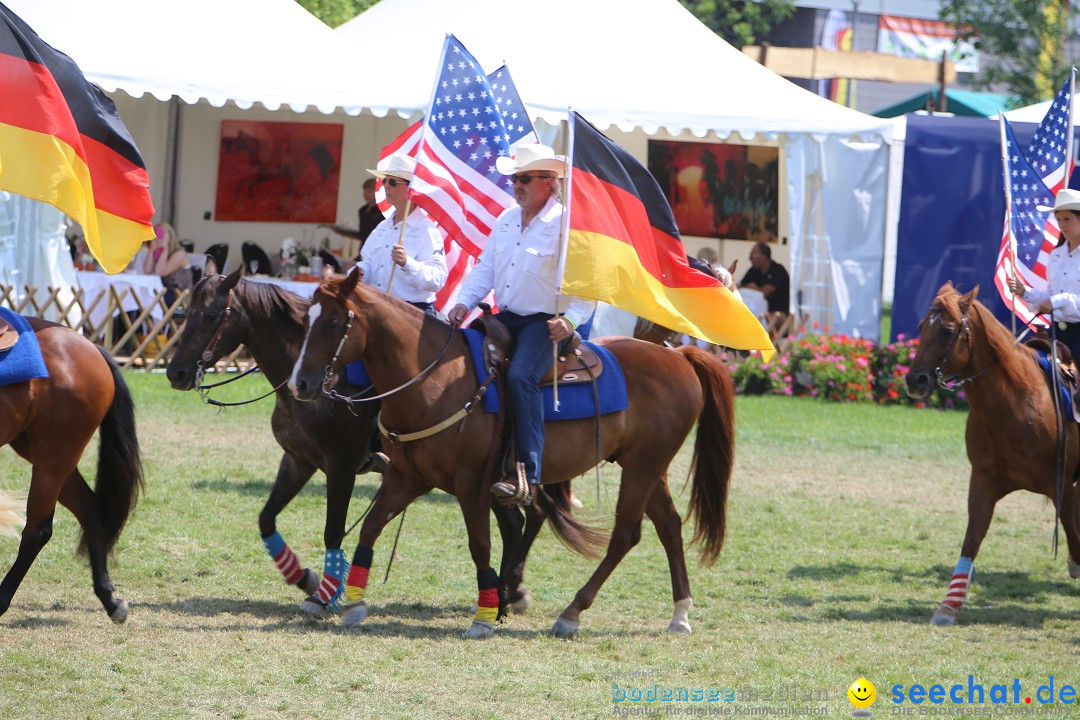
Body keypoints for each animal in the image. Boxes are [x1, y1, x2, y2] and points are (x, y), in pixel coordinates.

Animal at [0, 317, 142, 621]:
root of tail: (91, 347)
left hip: (54, 457)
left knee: (38, 531)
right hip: (45, 454)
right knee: (90, 509)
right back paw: (109, 599)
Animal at [287, 273, 734, 639]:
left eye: (332, 323)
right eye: (304, 321)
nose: (300, 384)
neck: (435, 379)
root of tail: (678, 356)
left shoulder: (471, 484)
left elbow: (480, 544)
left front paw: (485, 615)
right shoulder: (407, 477)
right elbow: (369, 528)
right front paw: (353, 602)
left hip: (642, 467)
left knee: (626, 534)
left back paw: (571, 613)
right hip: (647, 466)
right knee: (669, 526)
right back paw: (679, 614)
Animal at [902, 280, 1080, 626]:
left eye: (947, 330)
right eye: (920, 327)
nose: (915, 380)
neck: (1019, 401)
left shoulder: (1063, 486)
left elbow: (1075, 539)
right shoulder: (983, 480)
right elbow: (972, 538)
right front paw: (948, 606)